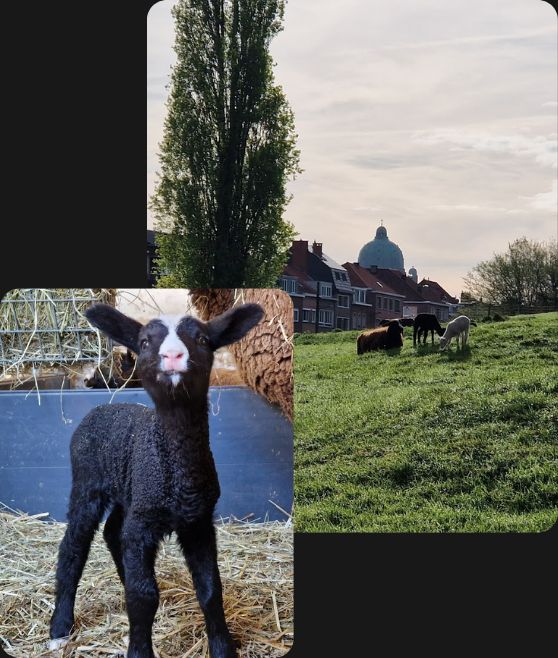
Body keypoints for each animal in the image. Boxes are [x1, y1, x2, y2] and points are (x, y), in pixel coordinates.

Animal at [48, 302, 264, 656]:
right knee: (73, 547)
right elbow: (144, 596)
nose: (173, 356)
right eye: (145, 341)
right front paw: (139, 649)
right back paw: (59, 626)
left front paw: (223, 647)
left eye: (202, 339)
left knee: (113, 532)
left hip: (130, 493)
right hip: (87, 484)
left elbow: (210, 589)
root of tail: (99, 409)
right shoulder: (146, 520)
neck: (179, 479)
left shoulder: (198, 523)